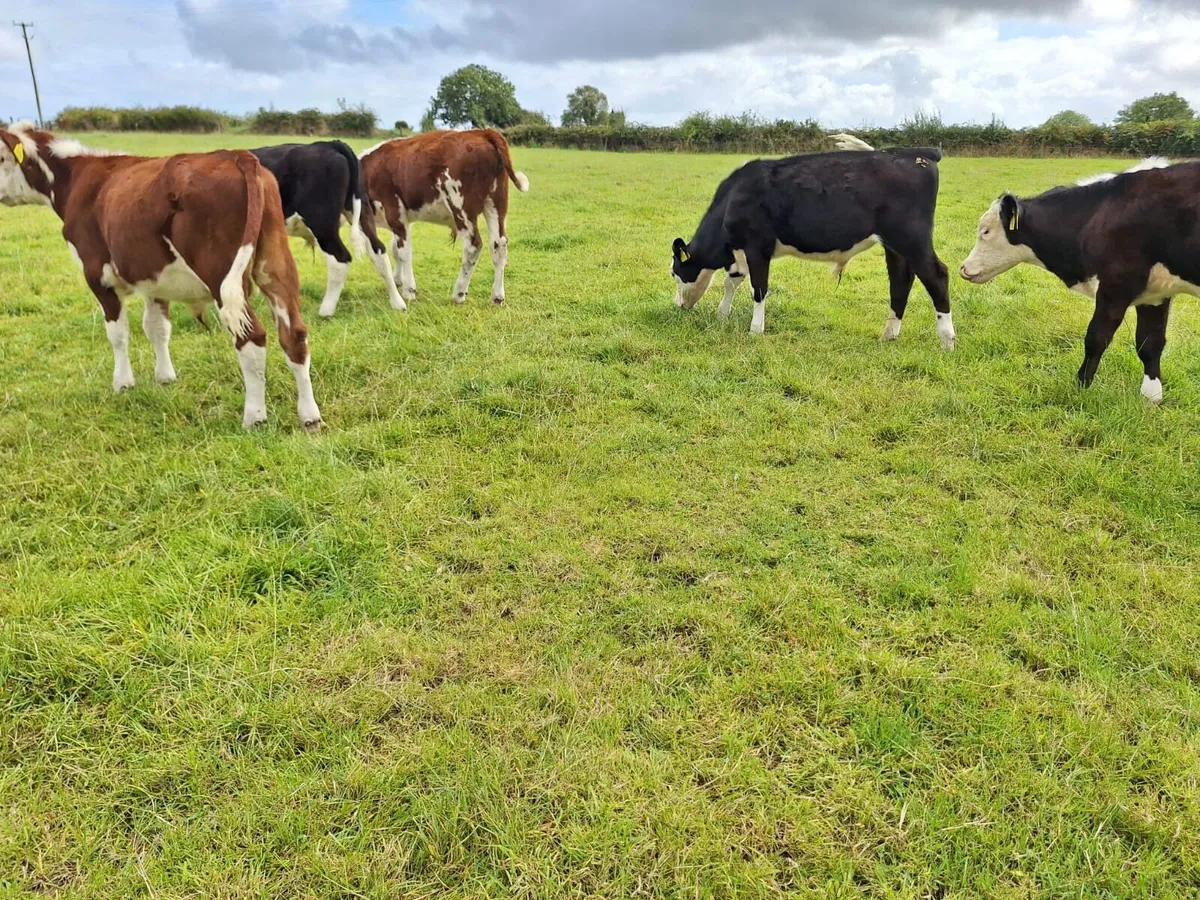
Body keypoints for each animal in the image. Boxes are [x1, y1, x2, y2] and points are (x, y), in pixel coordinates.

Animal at [0, 123, 321, 430]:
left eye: (0, 157)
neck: (77, 178)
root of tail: (235, 155)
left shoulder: (98, 275)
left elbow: (118, 333)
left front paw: (123, 383)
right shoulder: (154, 280)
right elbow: (157, 328)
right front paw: (165, 377)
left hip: (222, 274)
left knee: (251, 338)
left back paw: (254, 417)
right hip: (275, 265)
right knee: (294, 335)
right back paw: (309, 417)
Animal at [250, 140, 406, 318]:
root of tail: (328, 144)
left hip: (322, 224)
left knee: (340, 259)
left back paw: (326, 310)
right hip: (361, 211)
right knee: (378, 251)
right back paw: (397, 303)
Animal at [358, 129, 530, 306]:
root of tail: (482, 132)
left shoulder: (394, 211)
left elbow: (403, 252)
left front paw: (409, 290)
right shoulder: (402, 219)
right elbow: (395, 249)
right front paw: (398, 280)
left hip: (461, 206)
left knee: (473, 246)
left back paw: (459, 292)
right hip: (496, 202)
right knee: (498, 244)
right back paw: (497, 296)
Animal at [670, 135, 953, 347]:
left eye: (674, 274)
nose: (678, 305)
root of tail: (913, 152)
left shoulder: (757, 247)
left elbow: (758, 289)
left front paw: (755, 330)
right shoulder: (739, 252)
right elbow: (731, 282)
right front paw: (722, 314)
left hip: (911, 237)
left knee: (937, 275)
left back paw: (947, 341)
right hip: (895, 245)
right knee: (901, 280)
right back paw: (888, 335)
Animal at [959, 157, 1198, 404]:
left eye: (985, 231)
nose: (964, 268)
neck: (1100, 214)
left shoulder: (1115, 286)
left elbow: (1096, 338)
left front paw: (1081, 386)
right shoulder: (1155, 294)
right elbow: (1150, 342)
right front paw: (1151, 397)